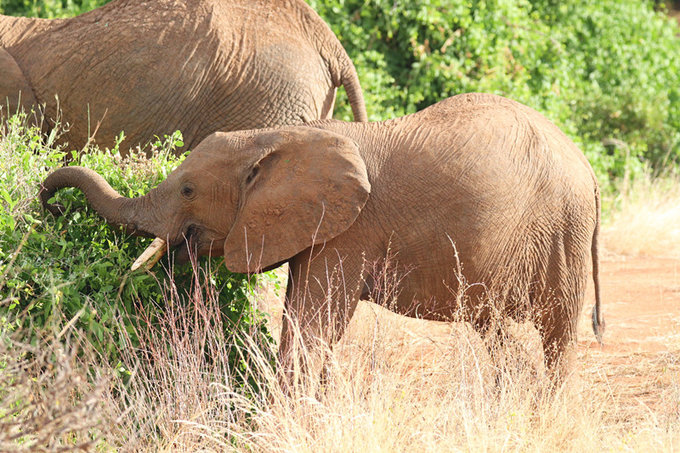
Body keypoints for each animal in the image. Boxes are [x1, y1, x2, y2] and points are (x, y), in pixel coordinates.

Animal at [39, 92, 604, 384]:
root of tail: (588, 167)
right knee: (495, 331)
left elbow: (311, 329)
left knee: (556, 335)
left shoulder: (348, 232)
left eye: (187, 189)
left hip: (564, 230)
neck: (275, 139)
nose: (48, 203)